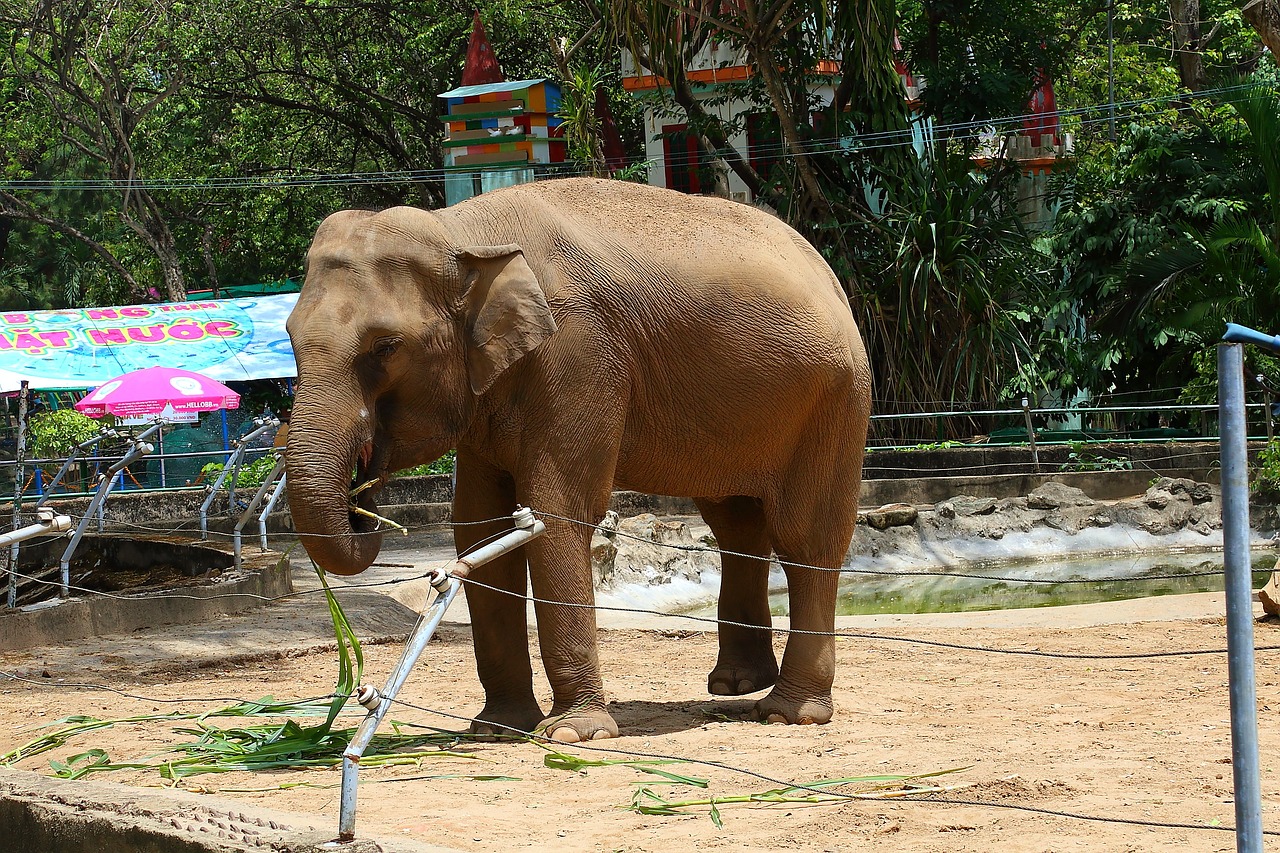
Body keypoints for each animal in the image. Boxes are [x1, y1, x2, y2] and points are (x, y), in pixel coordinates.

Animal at [285, 178, 875, 737]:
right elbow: (479, 528)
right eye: (289, 338)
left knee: (805, 535)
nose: (363, 499)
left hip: (835, 402)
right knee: (735, 524)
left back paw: (788, 712)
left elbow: (556, 514)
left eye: (386, 347)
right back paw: (735, 685)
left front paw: (574, 732)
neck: (459, 231)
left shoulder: (579, 355)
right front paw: (496, 729)